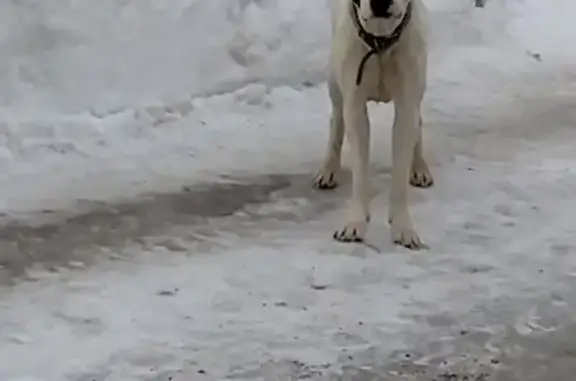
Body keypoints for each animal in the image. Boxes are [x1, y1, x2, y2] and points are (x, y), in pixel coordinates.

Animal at [316, 0, 432, 249]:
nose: (380, 2)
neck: (381, 40)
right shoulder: (355, 105)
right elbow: (360, 171)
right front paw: (355, 224)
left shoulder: (407, 102)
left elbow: (400, 168)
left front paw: (403, 228)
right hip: (335, 82)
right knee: (337, 121)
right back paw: (328, 169)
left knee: (418, 121)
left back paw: (419, 166)